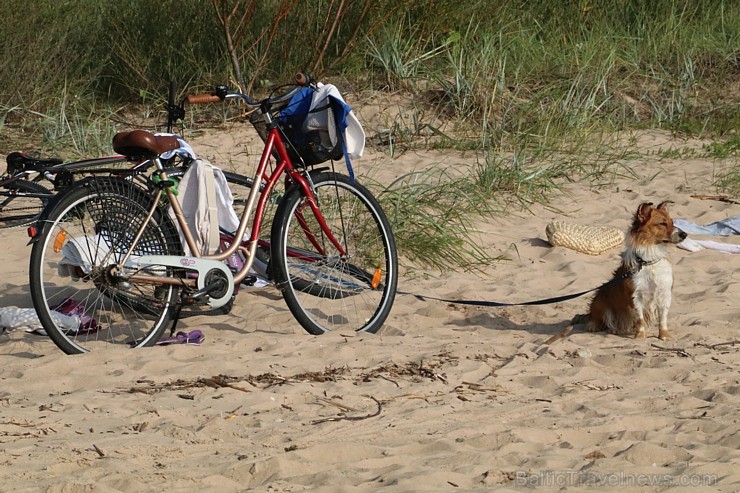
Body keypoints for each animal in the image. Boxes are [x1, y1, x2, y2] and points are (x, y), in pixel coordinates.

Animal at [588, 200, 688, 338]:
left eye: (672, 222)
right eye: (662, 223)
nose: (685, 234)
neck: (648, 262)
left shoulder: (665, 293)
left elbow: (663, 318)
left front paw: (664, 335)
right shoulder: (635, 296)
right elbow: (640, 319)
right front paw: (640, 336)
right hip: (600, 302)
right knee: (600, 319)